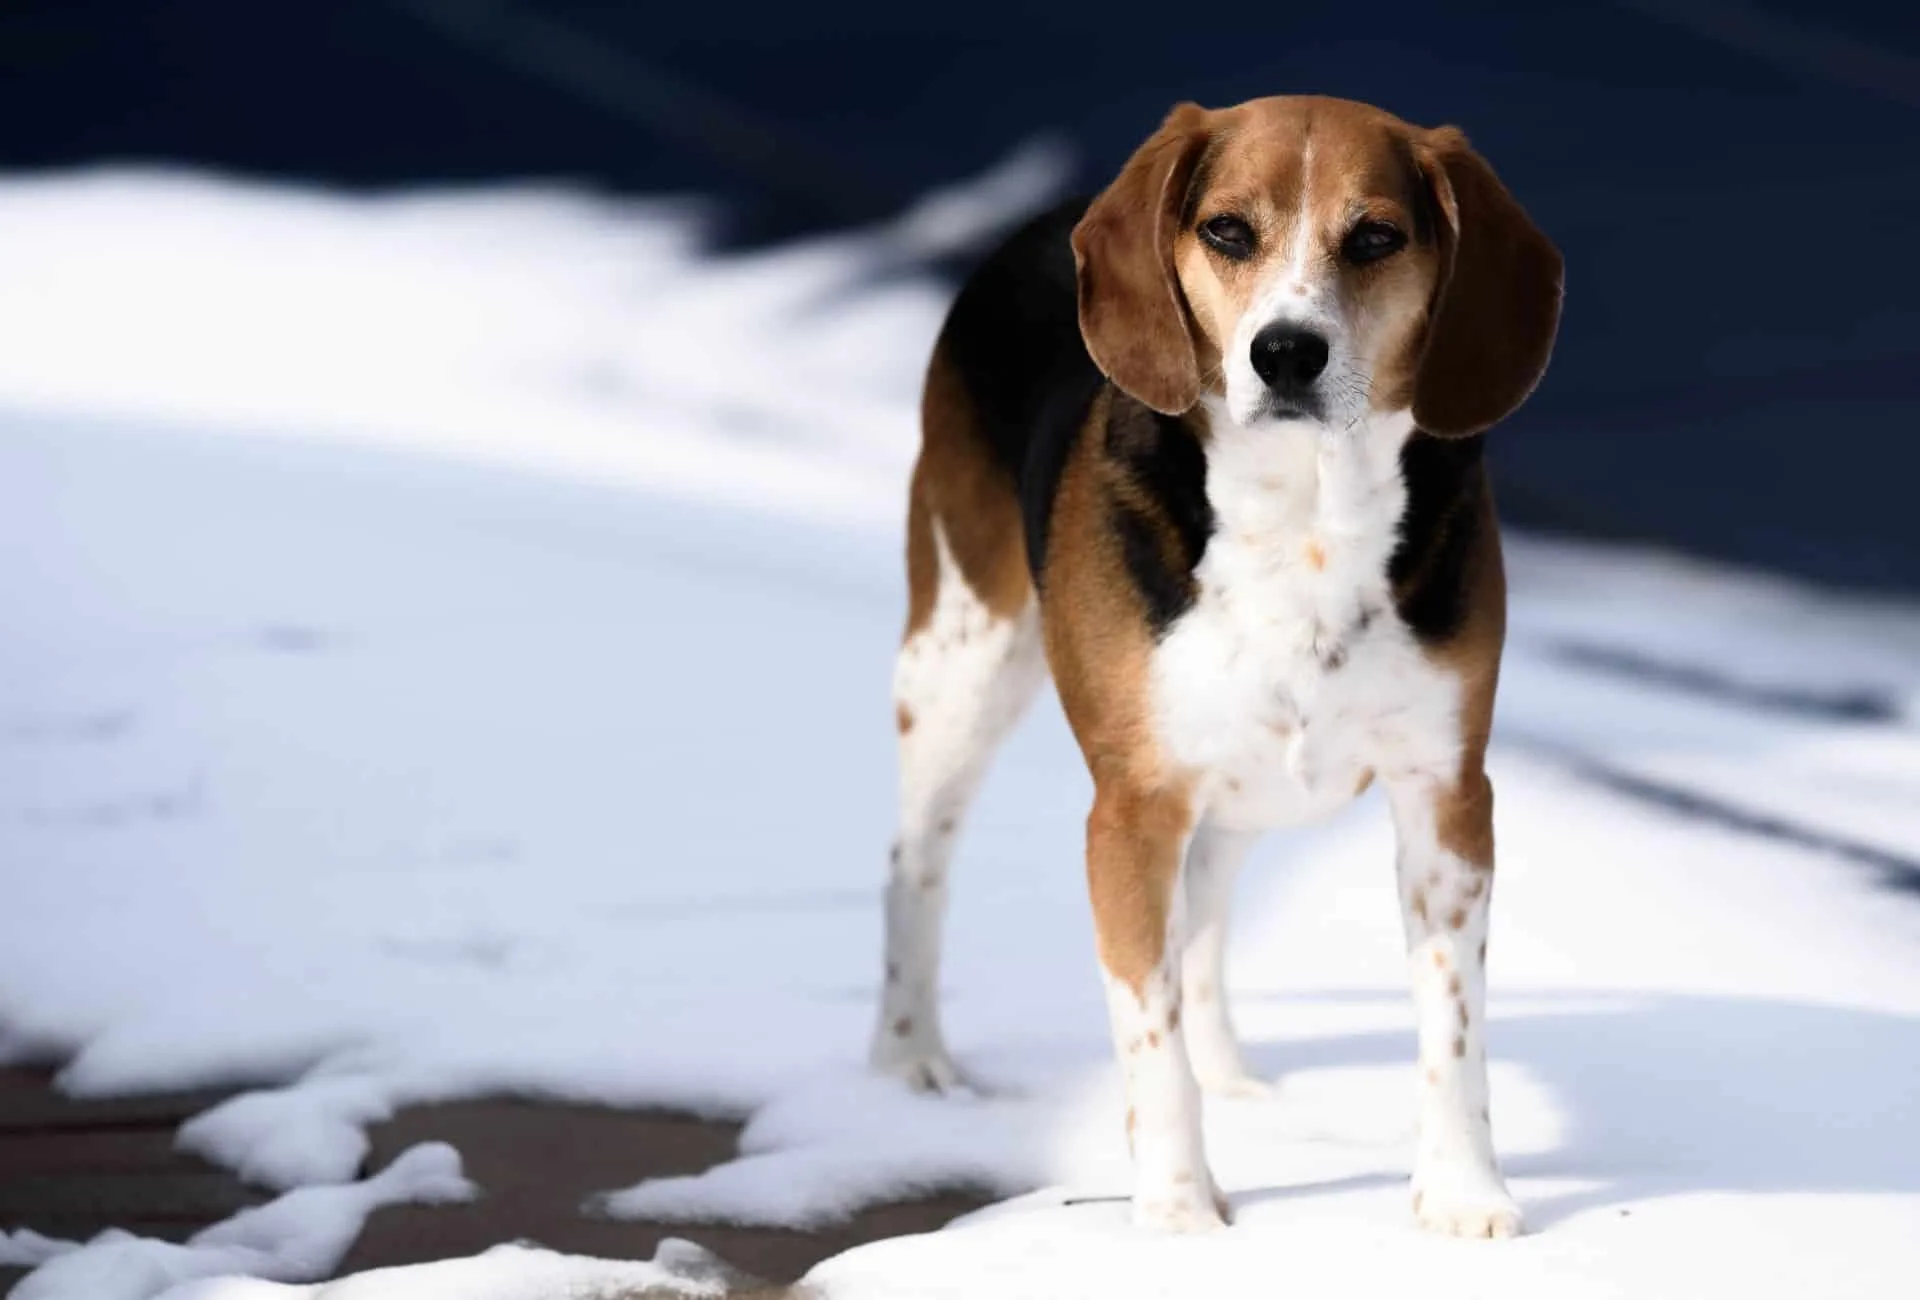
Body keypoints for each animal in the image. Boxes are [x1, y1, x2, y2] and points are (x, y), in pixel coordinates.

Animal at [871, 98, 1559, 1236]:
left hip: (1241, 785)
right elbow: (1149, 1040)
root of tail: (1054, 216)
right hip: (958, 667)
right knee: (915, 867)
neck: (1307, 516)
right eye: (1228, 231)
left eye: (1377, 236)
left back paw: (1233, 1074)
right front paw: (1182, 1215)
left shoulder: (1448, 796)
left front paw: (1465, 1196)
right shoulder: (1134, 809)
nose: (1287, 353)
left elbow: (1454, 1028)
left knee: (1207, 920)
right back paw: (908, 1057)